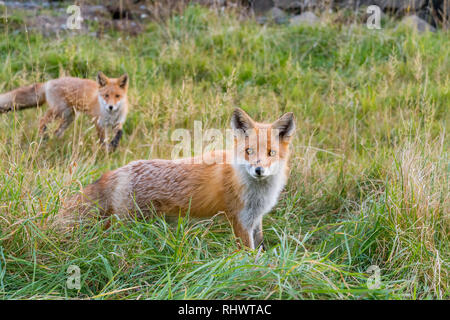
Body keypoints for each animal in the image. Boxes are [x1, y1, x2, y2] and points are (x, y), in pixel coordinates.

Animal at [0, 71, 130, 151]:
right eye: (106, 95)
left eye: (117, 96)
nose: (110, 107)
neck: (111, 116)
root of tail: (49, 82)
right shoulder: (99, 123)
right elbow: (102, 140)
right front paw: (107, 150)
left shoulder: (117, 123)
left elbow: (119, 133)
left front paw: (114, 145)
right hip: (59, 110)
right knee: (42, 120)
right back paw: (44, 137)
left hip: (69, 117)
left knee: (56, 131)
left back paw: (54, 142)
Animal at [59, 107, 296, 250]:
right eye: (249, 151)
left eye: (271, 153)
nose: (258, 170)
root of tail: (119, 171)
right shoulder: (240, 220)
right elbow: (248, 253)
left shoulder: (255, 218)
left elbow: (261, 246)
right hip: (128, 223)